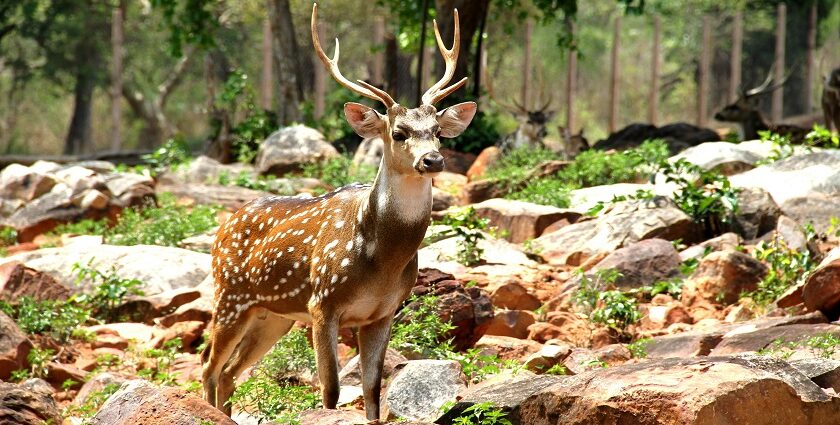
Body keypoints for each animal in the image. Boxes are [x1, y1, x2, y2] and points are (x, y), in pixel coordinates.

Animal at [200, 4, 476, 420]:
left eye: (438, 132)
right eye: (398, 133)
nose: (432, 160)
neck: (381, 260)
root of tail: (223, 227)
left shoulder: (383, 312)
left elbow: (373, 391)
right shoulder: (322, 303)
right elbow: (330, 391)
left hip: (272, 315)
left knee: (231, 371)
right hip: (230, 295)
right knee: (209, 365)